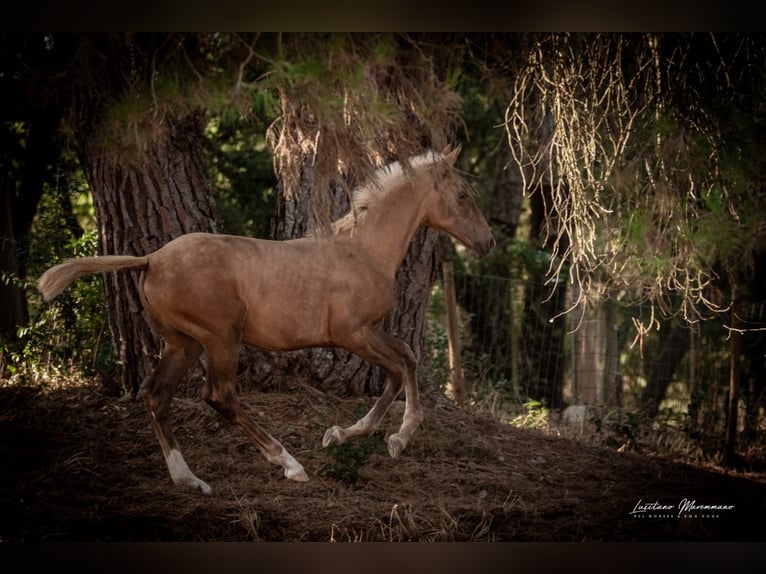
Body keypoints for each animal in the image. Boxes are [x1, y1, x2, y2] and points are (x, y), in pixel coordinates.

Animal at [39, 147, 498, 496]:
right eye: (462, 195)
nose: (488, 242)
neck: (364, 250)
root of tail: (151, 259)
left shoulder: (372, 330)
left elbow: (408, 358)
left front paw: (358, 435)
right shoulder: (351, 334)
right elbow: (400, 369)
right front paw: (384, 438)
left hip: (182, 342)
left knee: (156, 396)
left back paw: (191, 481)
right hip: (221, 337)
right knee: (219, 396)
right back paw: (289, 463)